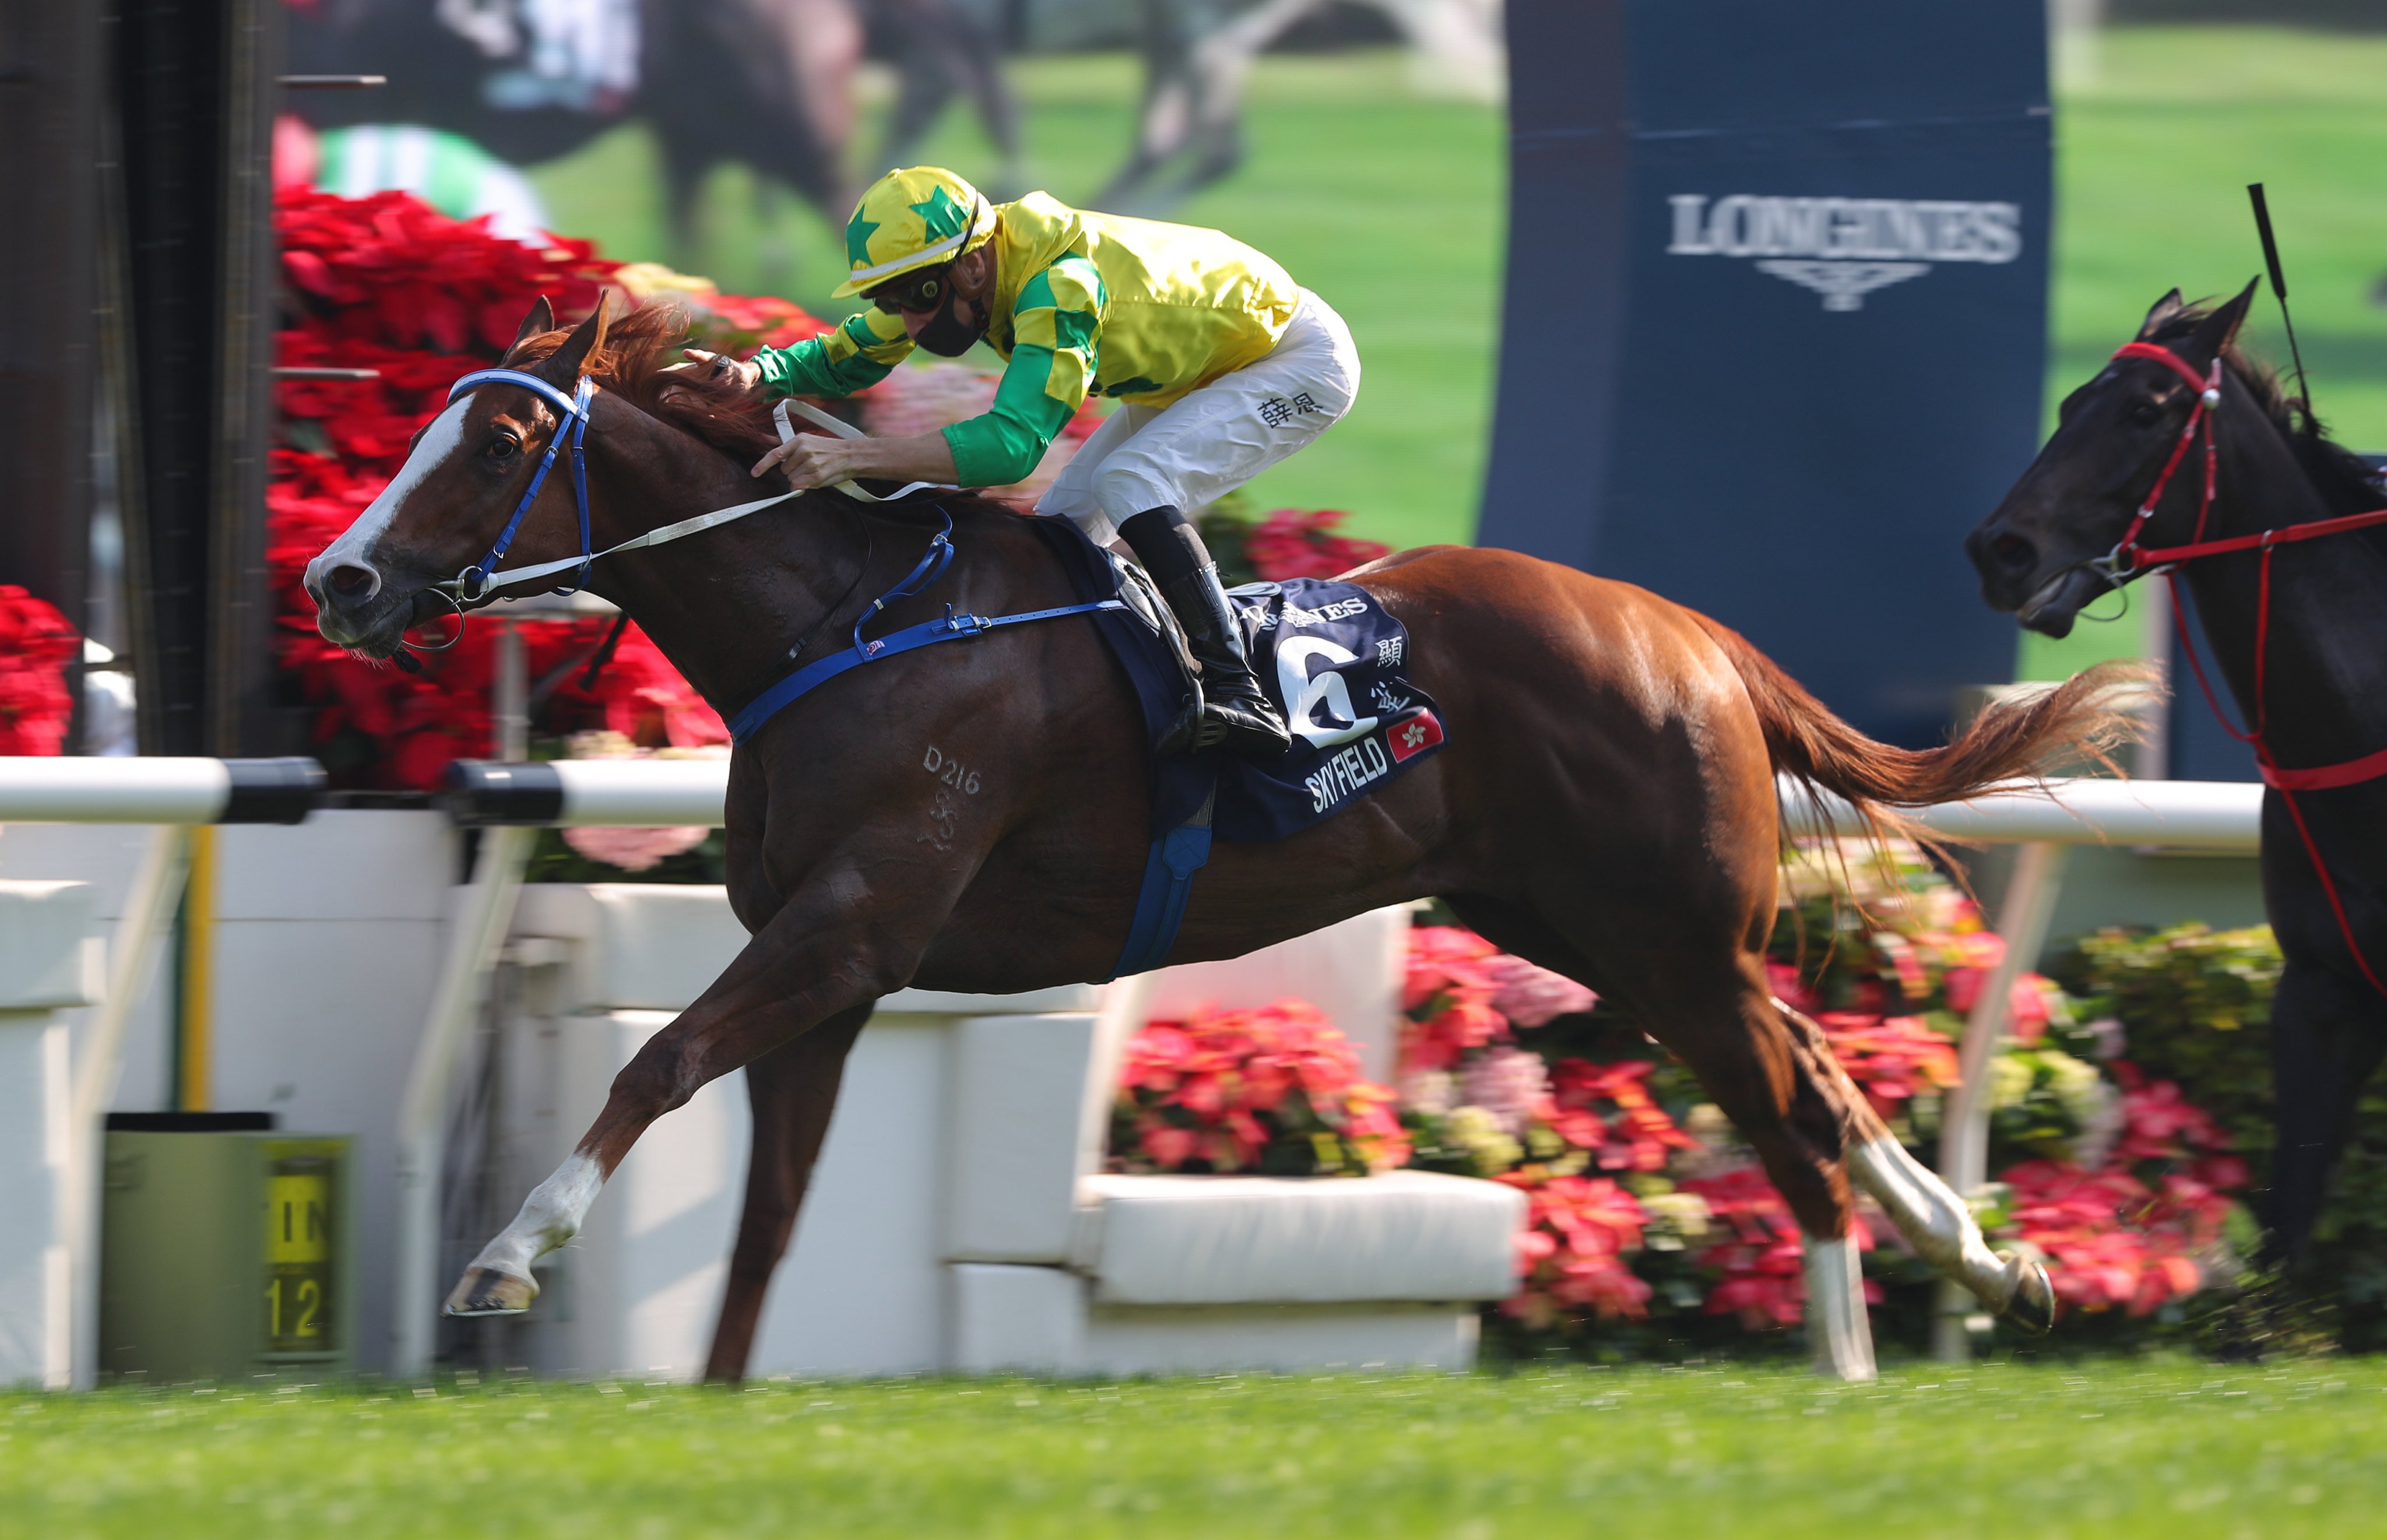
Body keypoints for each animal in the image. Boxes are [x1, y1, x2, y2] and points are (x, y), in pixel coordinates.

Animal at [312, 294, 2129, 1375]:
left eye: (492, 440)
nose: (340, 580)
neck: (848, 619)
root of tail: (1687, 634)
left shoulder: (849, 924)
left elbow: (654, 1062)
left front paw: (501, 1263)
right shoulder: (830, 977)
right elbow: (762, 1207)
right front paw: (718, 1388)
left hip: (1665, 932)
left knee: (1789, 1116)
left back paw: (1851, 1351)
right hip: (1594, 927)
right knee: (1815, 1071)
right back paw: (1990, 1266)